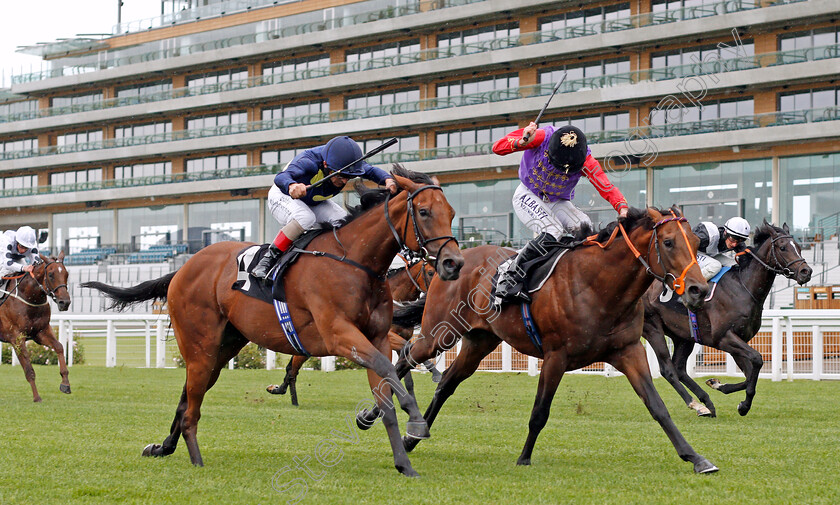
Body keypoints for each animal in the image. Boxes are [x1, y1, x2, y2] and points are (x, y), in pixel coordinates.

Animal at [0, 252, 72, 402]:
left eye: (66, 274)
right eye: (50, 274)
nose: (65, 302)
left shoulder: (41, 332)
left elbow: (59, 347)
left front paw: (65, 384)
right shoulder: (16, 338)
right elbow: (29, 370)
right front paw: (37, 397)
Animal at [270, 256, 442, 406]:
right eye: (430, 272)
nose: (435, 292)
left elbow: (408, 370)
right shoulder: (388, 337)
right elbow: (409, 348)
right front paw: (436, 374)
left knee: (293, 366)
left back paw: (284, 393)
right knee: (293, 368)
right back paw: (289, 397)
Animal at [378, 206, 720, 472]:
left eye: (695, 242)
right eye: (669, 242)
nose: (698, 290)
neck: (598, 286)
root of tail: (454, 263)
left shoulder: (628, 350)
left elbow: (657, 406)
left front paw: (696, 457)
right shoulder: (556, 356)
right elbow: (540, 412)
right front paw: (524, 458)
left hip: (479, 342)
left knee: (447, 381)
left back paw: (412, 437)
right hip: (441, 333)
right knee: (408, 355)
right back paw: (378, 414)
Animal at [644, 222, 812, 416]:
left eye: (799, 247)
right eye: (783, 247)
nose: (806, 271)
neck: (743, 287)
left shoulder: (738, 339)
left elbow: (749, 375)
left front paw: (720, 386)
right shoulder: (723, 337)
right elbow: (757, 359)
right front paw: (743, 405)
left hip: (683, 336)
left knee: (679, 369)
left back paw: (707, 404)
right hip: (652, 327)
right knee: (667, 370)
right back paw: (696, 404)